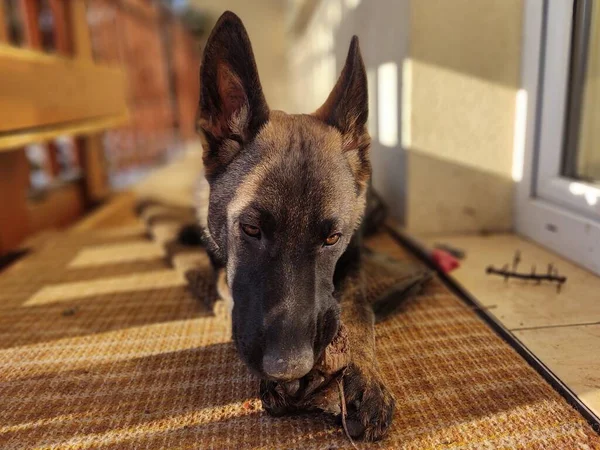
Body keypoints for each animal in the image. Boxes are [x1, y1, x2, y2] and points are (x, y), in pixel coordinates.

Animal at [195, 11, 396, 442]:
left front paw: (366, 376)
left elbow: (359, 308)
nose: (289, 369)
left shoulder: (354, 259)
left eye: (332, 238)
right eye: (251, 229)